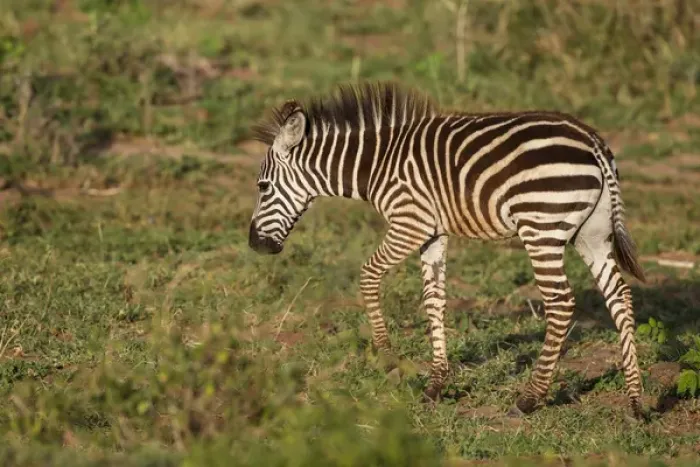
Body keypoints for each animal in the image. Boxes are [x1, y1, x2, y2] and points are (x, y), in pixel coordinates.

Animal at [248, 82, 647, 419]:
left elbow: (368, 275)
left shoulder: (410, 224)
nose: (255, 244)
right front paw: (437, 383)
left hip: (542, 227)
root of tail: (592, 140)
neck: (375, 165)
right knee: (620, 295)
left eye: (263, 186)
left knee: (561, 303)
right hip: (591, 232)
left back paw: (529, 398)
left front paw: (388, 360)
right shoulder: (433, 233)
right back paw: (636, 402)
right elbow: (434, 300)